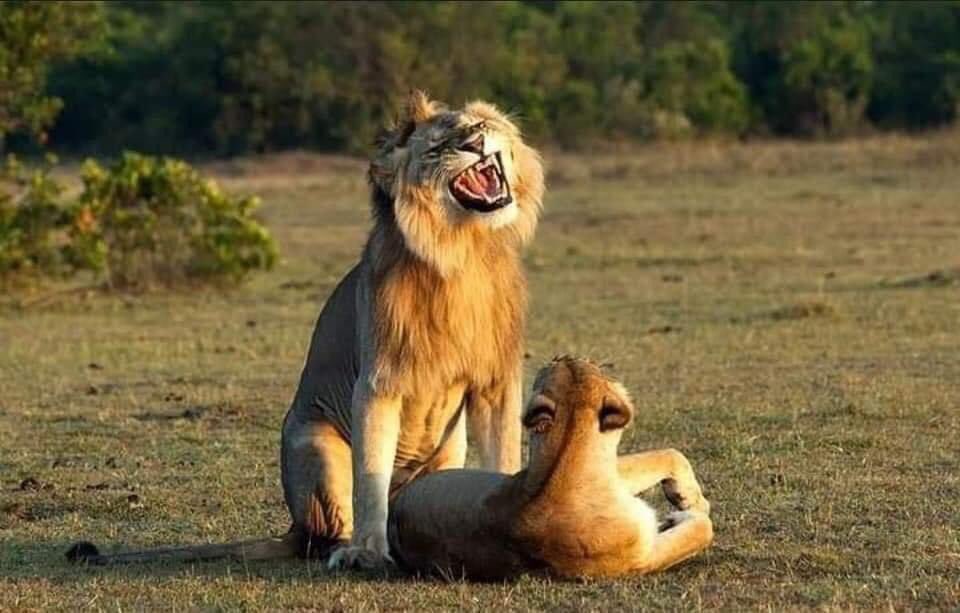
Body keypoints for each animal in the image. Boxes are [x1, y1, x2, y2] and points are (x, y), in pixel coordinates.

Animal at [66, 91, 545, 570]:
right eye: (438, 147)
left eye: (478, 125)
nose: (475, 143)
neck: (462, 252)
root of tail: (293, 526)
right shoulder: (378, 382)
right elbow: (370, 478)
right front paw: (367, 553)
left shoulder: (496, 382)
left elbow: (502, 453)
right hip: (315, 443)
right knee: (328, 531)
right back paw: (348, 550)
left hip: (446, 454)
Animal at [67, 357, 713, 581]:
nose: (558, 353)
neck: (565, 462)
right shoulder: (635, 554)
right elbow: (683, 505)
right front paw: (691, 503)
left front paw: (682, 501)